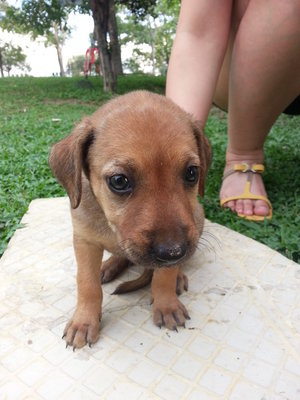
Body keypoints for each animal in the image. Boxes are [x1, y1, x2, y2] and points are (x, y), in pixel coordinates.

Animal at [49, 90, 211, 350]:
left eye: (192, 173)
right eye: (119, 181)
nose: (173, 252)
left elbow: (163, 277)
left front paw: (167, 304)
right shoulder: (84, 241)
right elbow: (87, 284)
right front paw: (84, 321)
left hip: (198, 217)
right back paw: (108, 266)